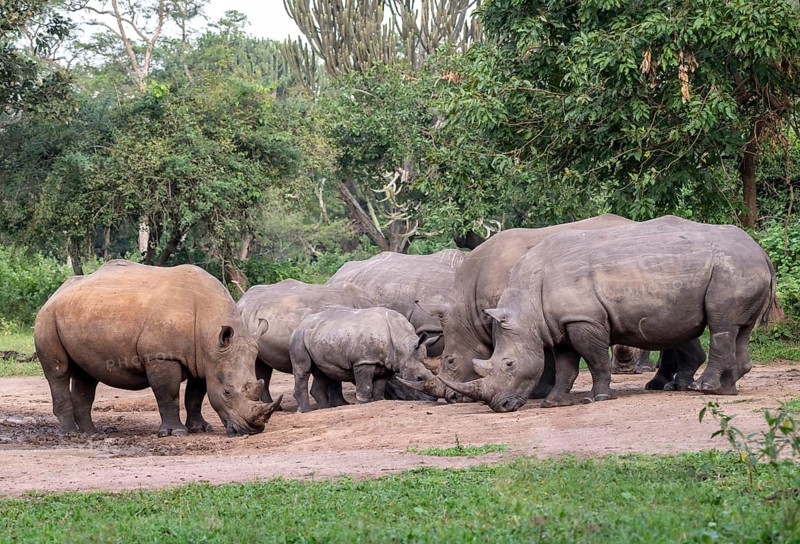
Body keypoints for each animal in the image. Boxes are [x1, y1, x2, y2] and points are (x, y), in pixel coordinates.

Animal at [34, 260, 280, 436]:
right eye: (227, 392)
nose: (252, 430)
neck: (210, 333)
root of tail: (57, 291)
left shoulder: (205, 359)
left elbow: (195, 395)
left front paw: (200, 428)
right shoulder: (163, 357)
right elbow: (168, 394)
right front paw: (175, 433)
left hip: (81, 312)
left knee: (86, 375)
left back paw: (92, 433)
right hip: (47, 317)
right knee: (58, 372)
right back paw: (69, 434)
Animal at [290, 306, 435, 412]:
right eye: (419, 378)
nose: (434, 399)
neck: (403, 344)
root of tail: (300, 324)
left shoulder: (388, 364)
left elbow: (379, 388)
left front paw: (379, 401)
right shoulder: (364, 361)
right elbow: (365, 387)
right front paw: (361, 404)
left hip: (320, 335)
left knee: (321, 372)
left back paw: (324, 409)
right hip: (299, 337)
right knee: (303, 370)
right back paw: (305, 411)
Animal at [442, 216, 775, 412]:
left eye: (509, 364)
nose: (500, 406)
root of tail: (760, 251)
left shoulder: (583, 319)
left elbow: (594, 360)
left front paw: (597, 398)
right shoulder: (560, 324)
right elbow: (567, 365)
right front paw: (554, 403)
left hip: (731, 268)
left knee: (721, 325)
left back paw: (702, 388)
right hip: (732, 269)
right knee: (737, 329)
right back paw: (724, 390)